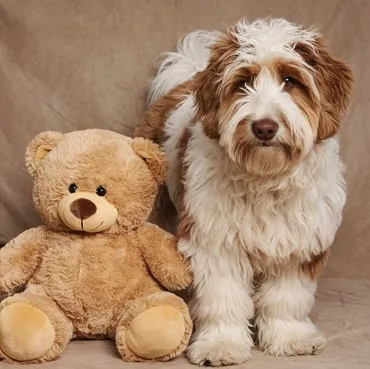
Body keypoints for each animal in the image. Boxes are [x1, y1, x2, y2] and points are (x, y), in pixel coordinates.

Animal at [135, 18, 352, 368]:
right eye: (243, 83)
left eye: (290, 80)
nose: (264, 127)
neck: (265, 178)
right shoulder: (215, 242)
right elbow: (223, 298)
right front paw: (221, 344)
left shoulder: (298, 244)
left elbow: (286, 298)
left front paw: (290, 337)